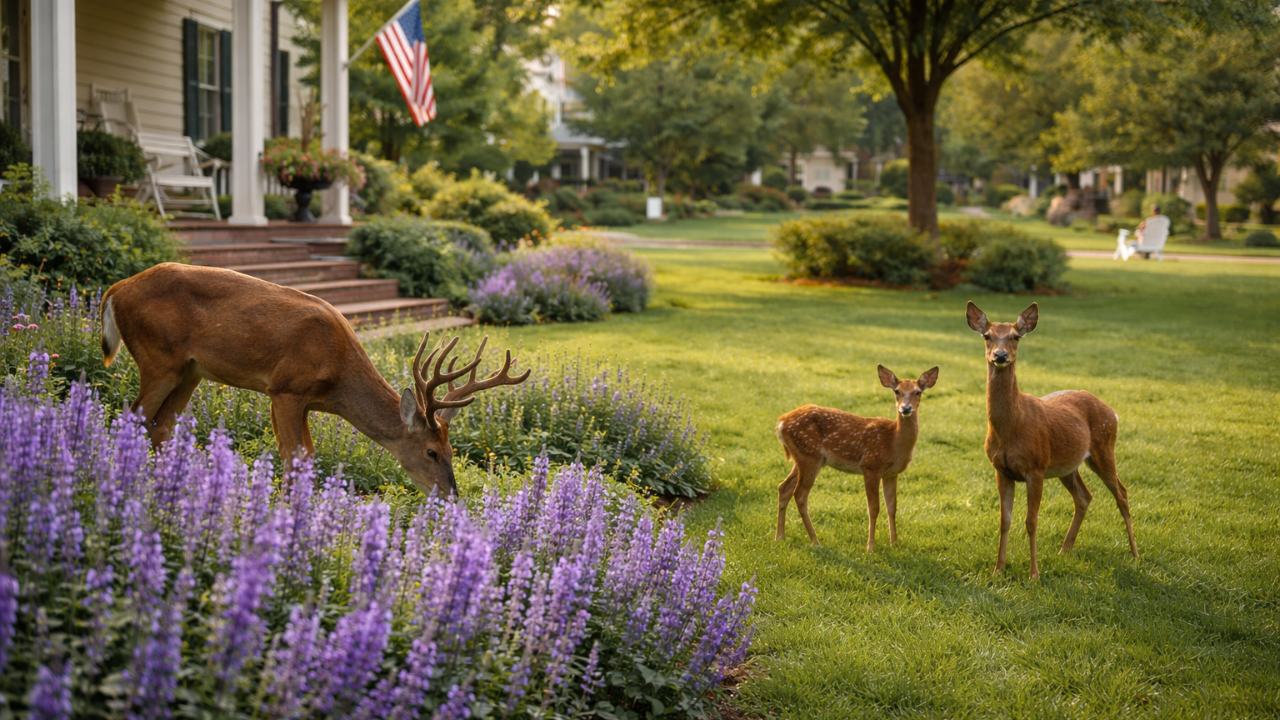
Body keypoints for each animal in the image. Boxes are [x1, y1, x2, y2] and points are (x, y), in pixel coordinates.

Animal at [99, 262, 529, 497]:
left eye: (453, 451)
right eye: (430, 452)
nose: (451, 497)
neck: (336, 381)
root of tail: (114, 290)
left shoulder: (298, 398)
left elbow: (306, 454)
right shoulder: (286, 388)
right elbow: (296, 456)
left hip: (191, 370)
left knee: (161, 425)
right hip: (159, 358)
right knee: (133, 414)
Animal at [775, 365, 939, 550]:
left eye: (918, 392)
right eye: (897, 391)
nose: (905, 408)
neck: (893, 441)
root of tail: (780, 422)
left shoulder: (891, 474)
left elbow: (892, 507)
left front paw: (894, 544)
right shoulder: (870, 466)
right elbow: (873, 509)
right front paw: (870, 547)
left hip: (803, 457)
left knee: (784, 487)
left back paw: (780, 537)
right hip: (810, 456)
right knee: (800, 495)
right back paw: (815, 541)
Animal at [966, 301, 1138, 579]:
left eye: (1016, 337)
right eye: (987, 336)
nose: (1000, 356)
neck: (1010, 430)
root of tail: (1113, 411)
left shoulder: (1035, 467)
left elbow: (1031, 521)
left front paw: (1034, 574)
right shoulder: (1000, 470)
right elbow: (1004, 521)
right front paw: (998, 570)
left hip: (1104, 447)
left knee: (1121, 493)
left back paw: (1135, 554)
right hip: (1067, 466)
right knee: (1084, 496)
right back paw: (1064, 551)